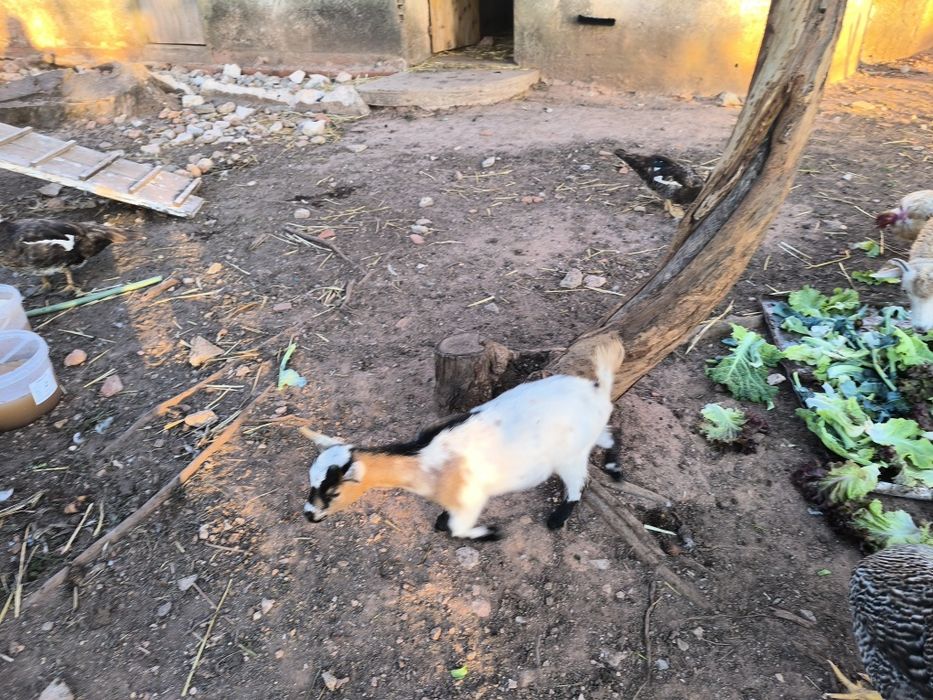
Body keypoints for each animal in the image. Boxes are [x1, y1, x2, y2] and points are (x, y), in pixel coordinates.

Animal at [302, 337, 625, 540]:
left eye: (334, 492)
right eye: (311, 482)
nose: (308, 514)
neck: (425, 462)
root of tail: (596, 388)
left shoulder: (471, 499)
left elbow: (457, 530)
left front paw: (491, 534)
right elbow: (444, 524)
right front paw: (443, 521)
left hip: (570, 456)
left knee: (577, 484)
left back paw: (557, 519)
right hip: (589, 433)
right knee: (610, 434)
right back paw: (615, 469)